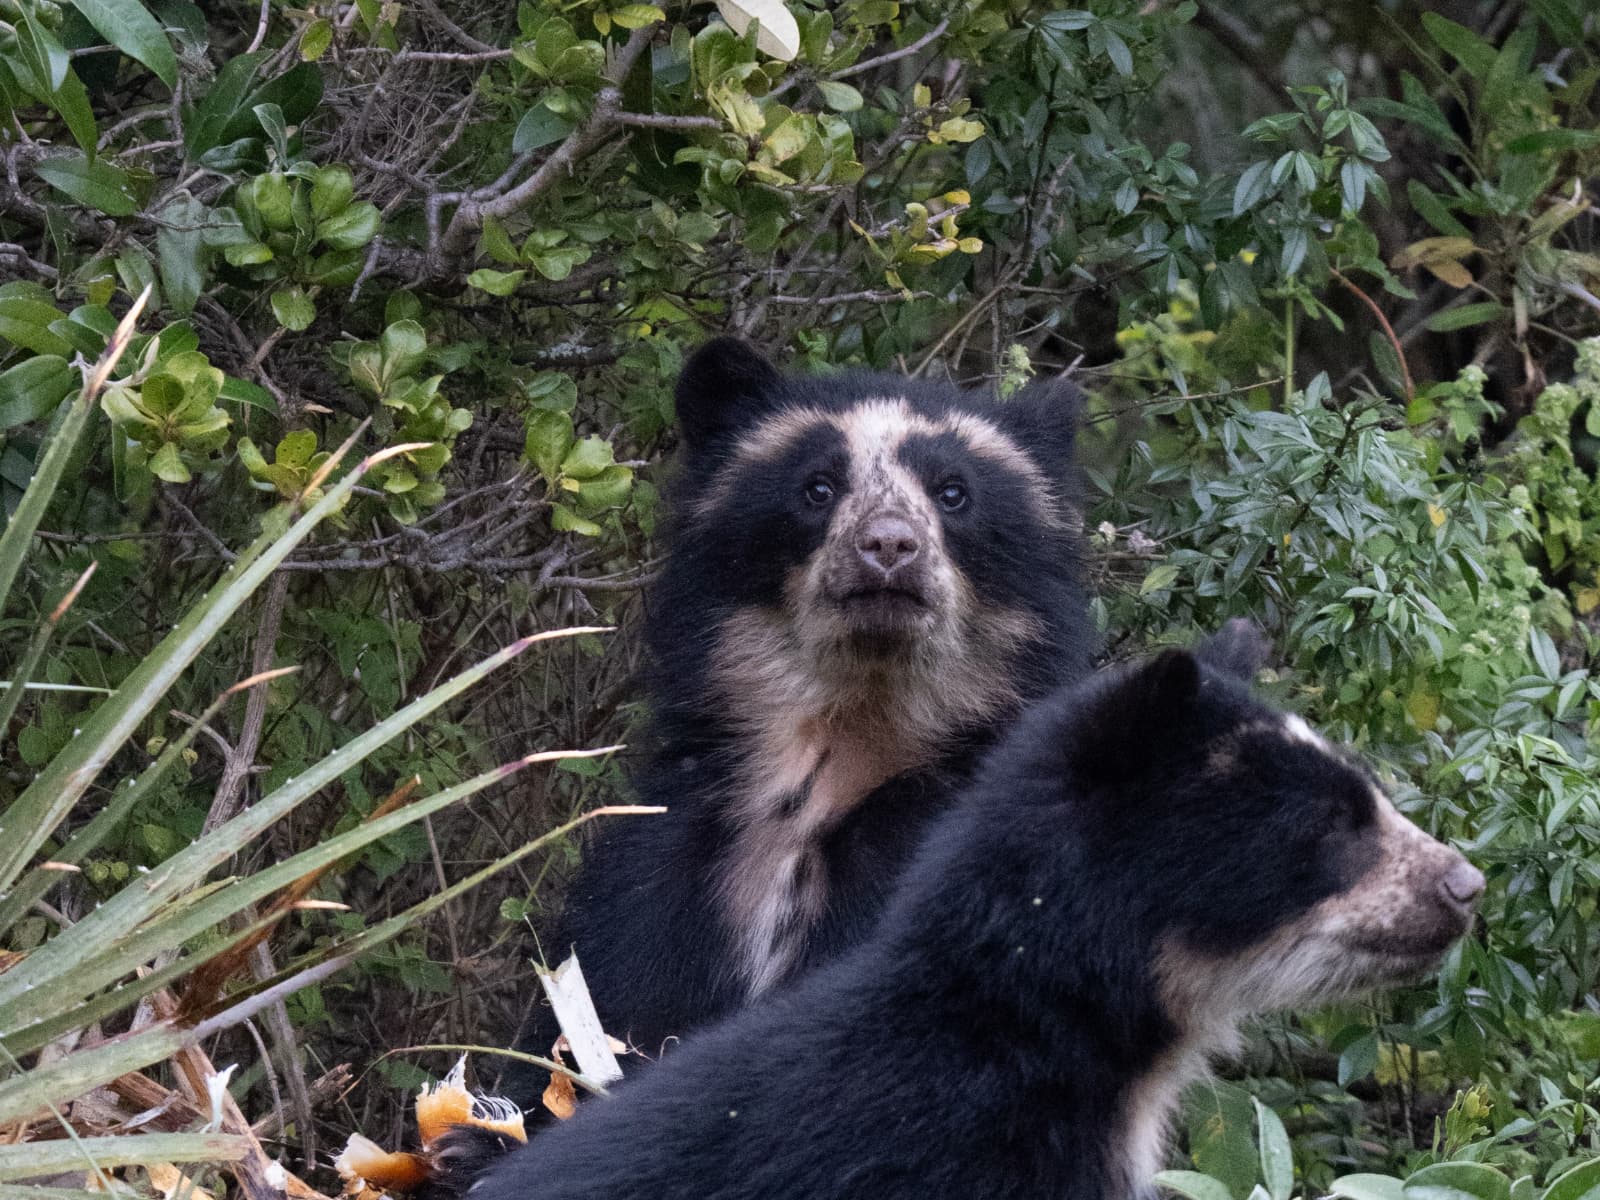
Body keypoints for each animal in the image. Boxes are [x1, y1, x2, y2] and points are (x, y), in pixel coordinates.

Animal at [494, 337, 1093, 1106]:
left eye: (954, 492)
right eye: (818, 487)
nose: (889, 546)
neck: (833, 749)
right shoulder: (669, 866)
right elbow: (600, 1009)